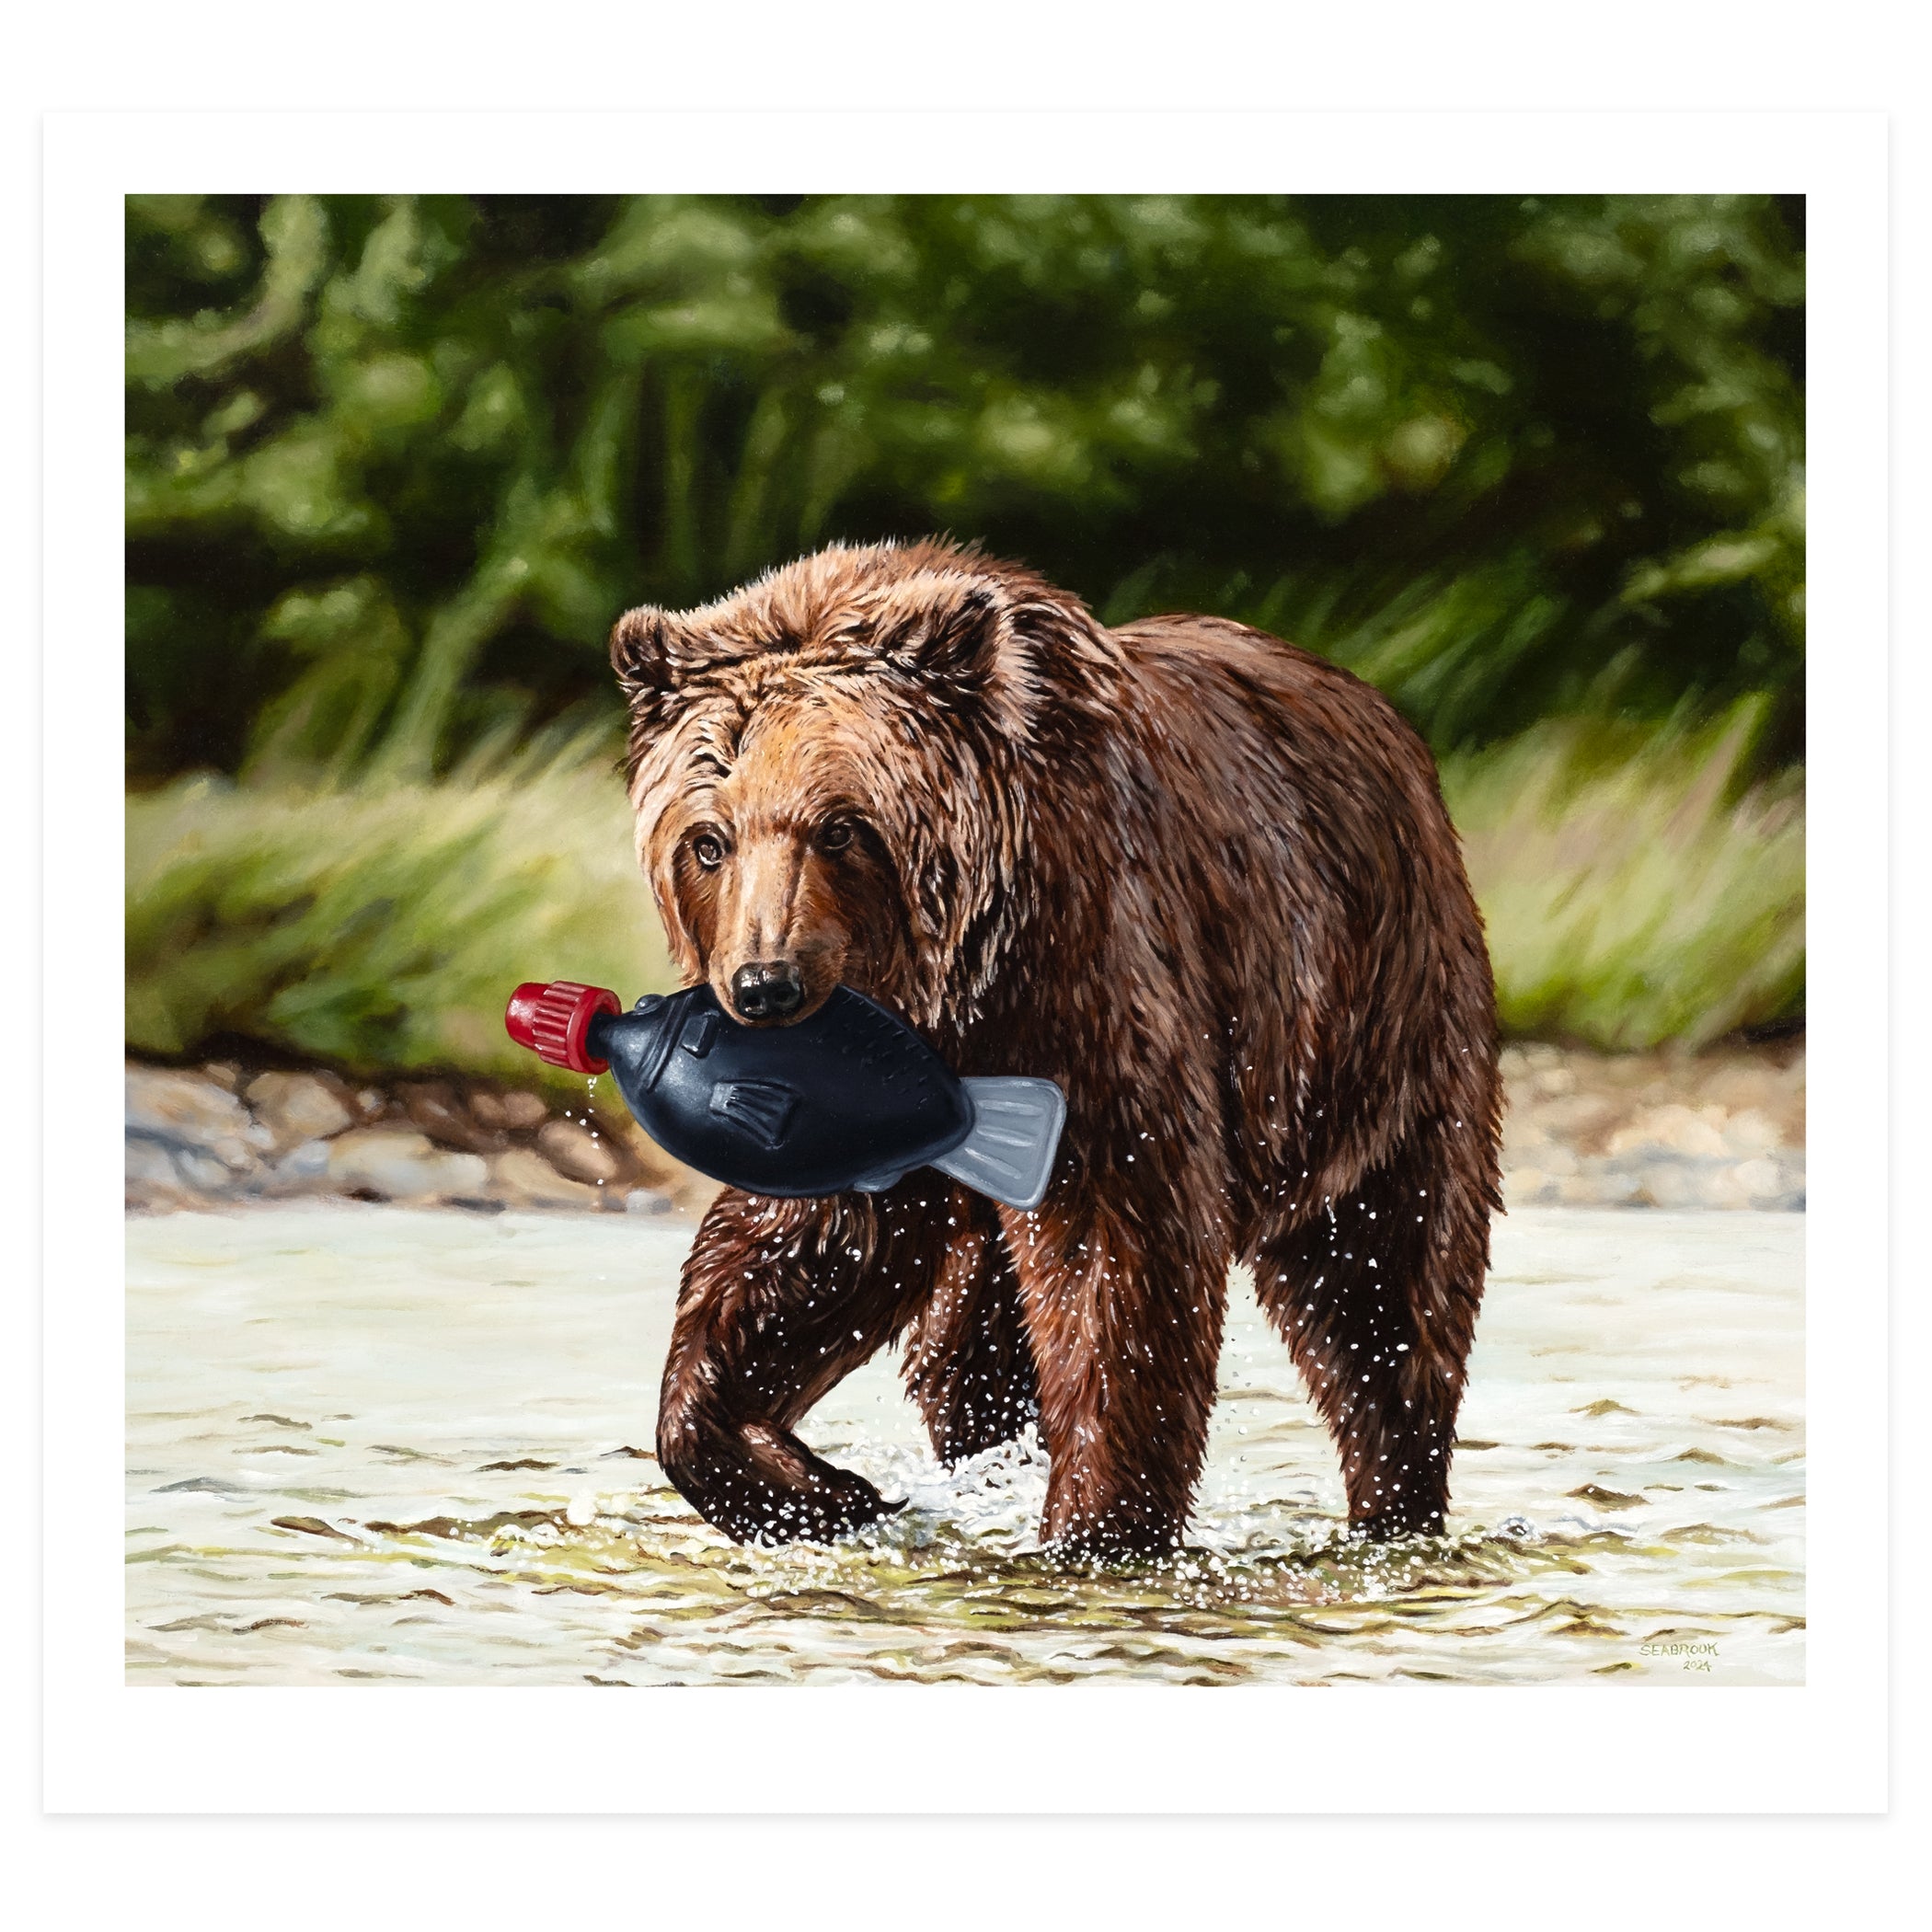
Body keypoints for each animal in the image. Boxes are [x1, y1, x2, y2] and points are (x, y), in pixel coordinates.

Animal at [610, 538, 1503, 1560]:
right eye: (708, 841)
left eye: (839, 826)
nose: (767, 986)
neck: (953, 990)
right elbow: (809, 1247)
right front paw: (818, 1491)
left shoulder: (1091, 991)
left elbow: (1121, 1261)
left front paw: (1099, 1529)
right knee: (970, 1360)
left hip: (1378, 1033)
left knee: (1385, 1292)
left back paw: (1397, 1508)